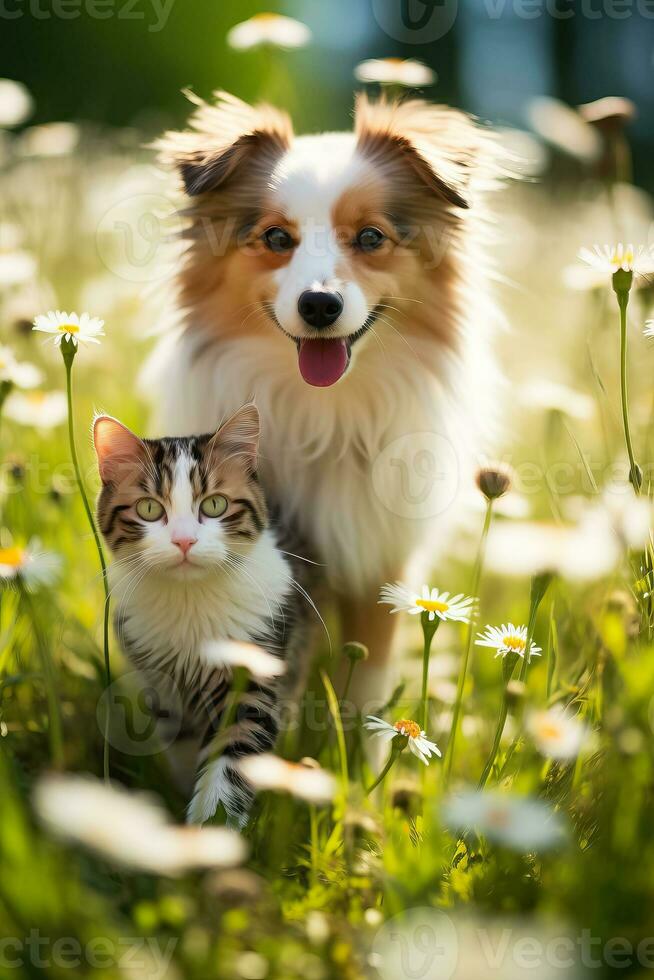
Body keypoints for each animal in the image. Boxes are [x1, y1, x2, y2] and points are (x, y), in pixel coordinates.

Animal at [91, 402, 320, 824]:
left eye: (214, 505)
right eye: (149, 509)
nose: (184, 541)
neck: (189, 603)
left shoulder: (252, 675)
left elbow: (227, 771)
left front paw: (209, 830)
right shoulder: (164, 689)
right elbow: (182, 753)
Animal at [154, 88, 500, 708]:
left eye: (371, 238)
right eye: (276, 238)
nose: (319, 304)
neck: (325, 410)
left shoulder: (380, 557)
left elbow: (367, 682)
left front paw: (363, 738)